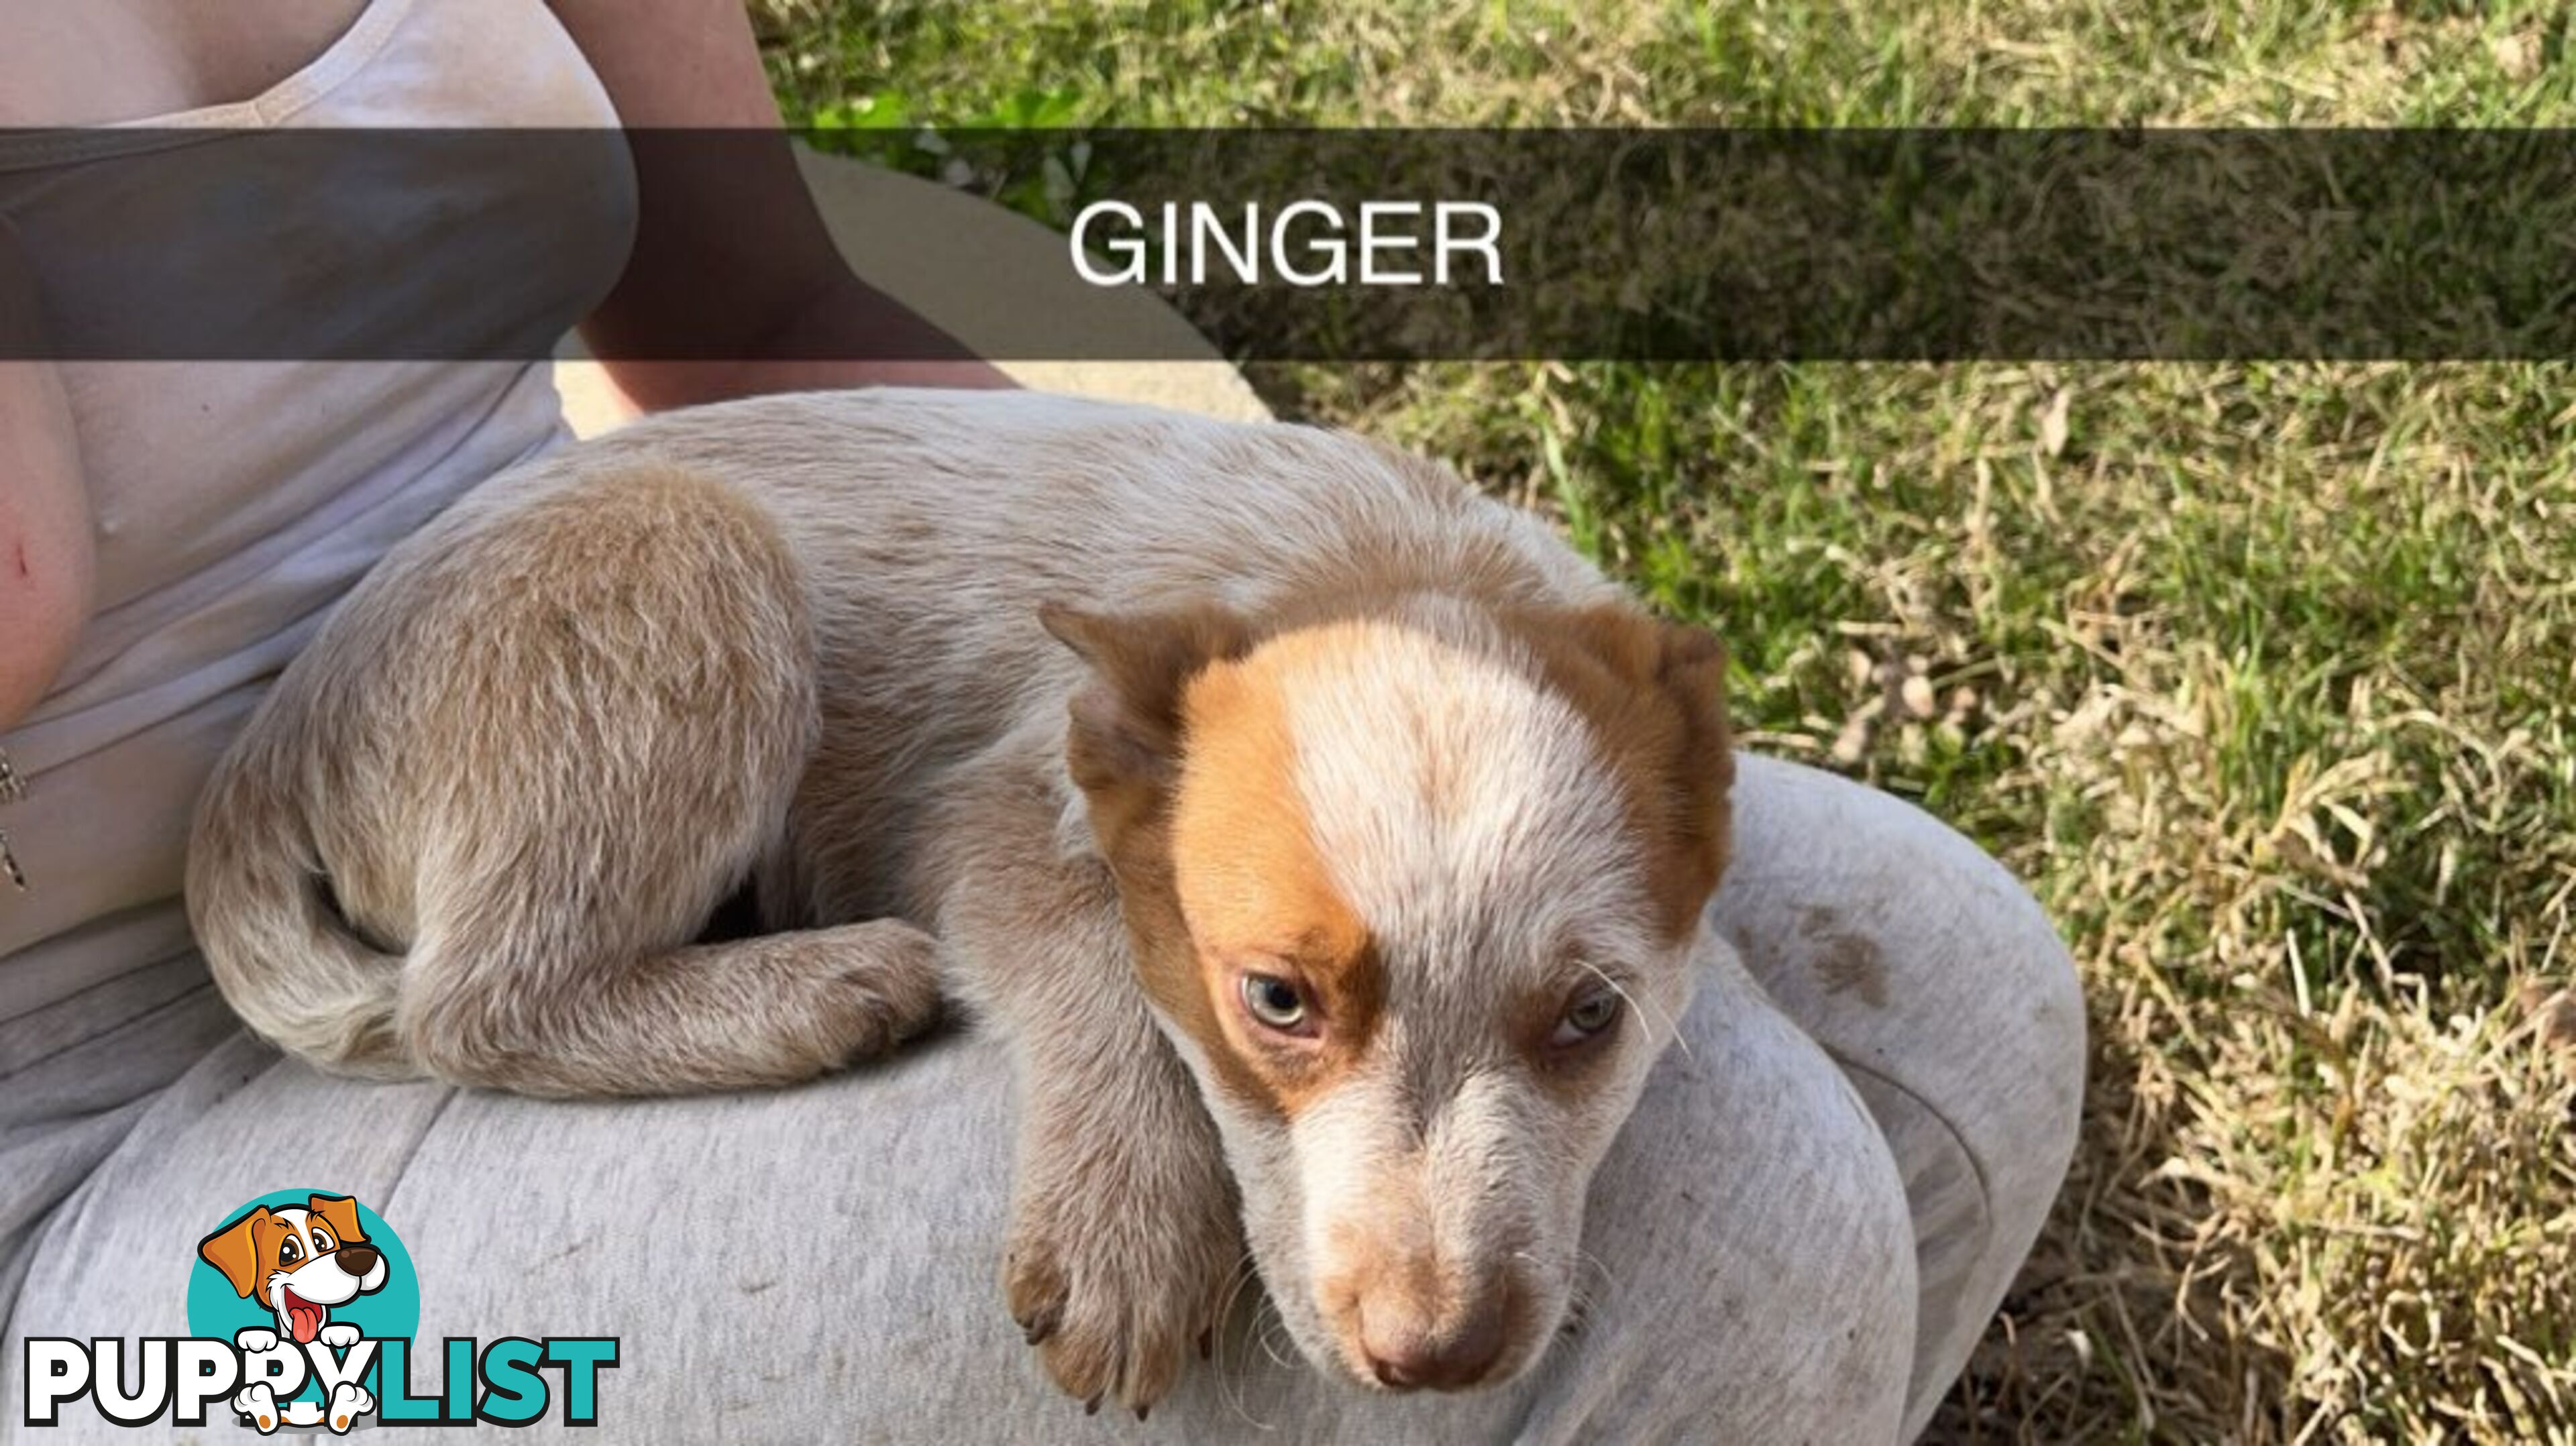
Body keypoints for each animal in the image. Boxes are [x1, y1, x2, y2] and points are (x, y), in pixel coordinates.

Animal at [191, 389, 1741, 1412]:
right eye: (1276, 1000)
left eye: (1592, 1015)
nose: (1436, 1357)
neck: (1393, 570)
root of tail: (258, 764)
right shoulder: (984, 807)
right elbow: (1099, 966)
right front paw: (1126, 1234)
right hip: (677, 561)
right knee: (473, 1000)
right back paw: (827, 986)